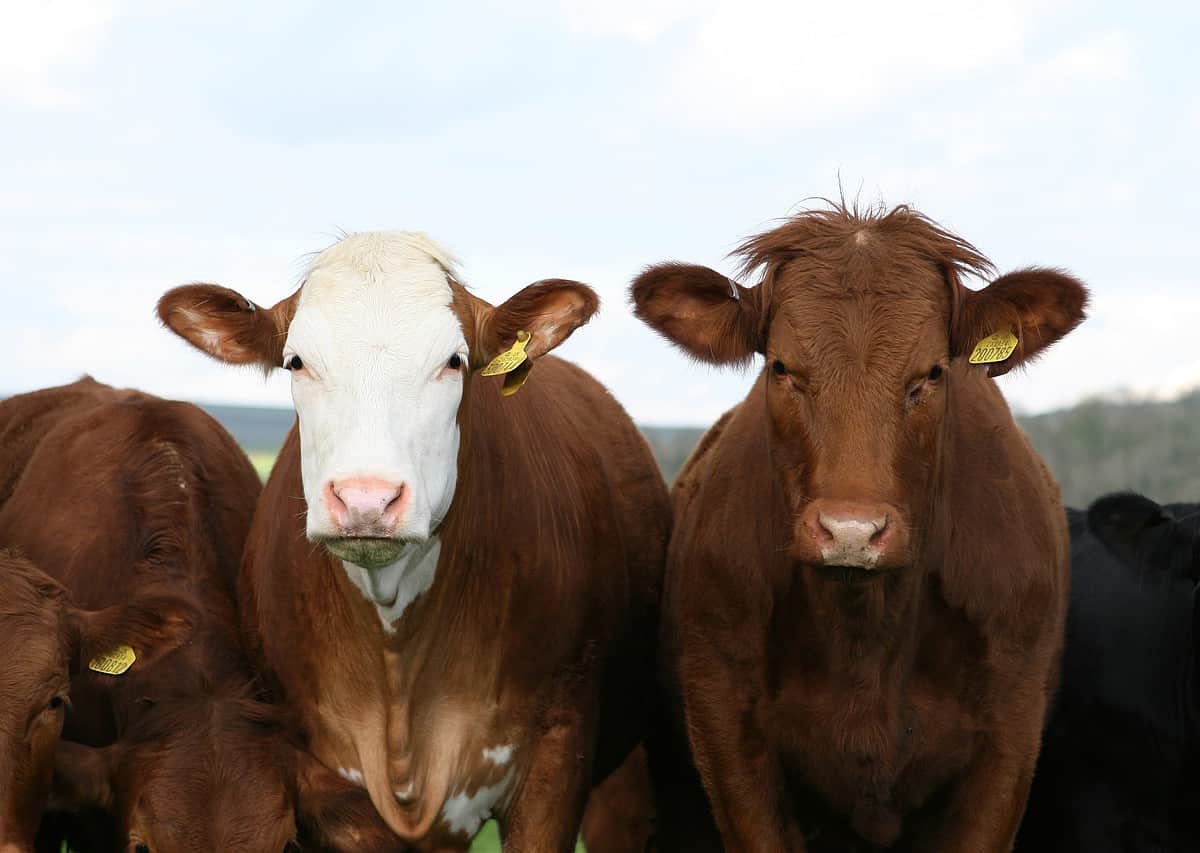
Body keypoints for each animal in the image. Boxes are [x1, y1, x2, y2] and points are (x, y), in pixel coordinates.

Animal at [629, 201, 1088, 851]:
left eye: (932, 374)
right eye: (780, 367)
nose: (851, 531)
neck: (866, 632)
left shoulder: (1009, 736)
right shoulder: (726, 730)